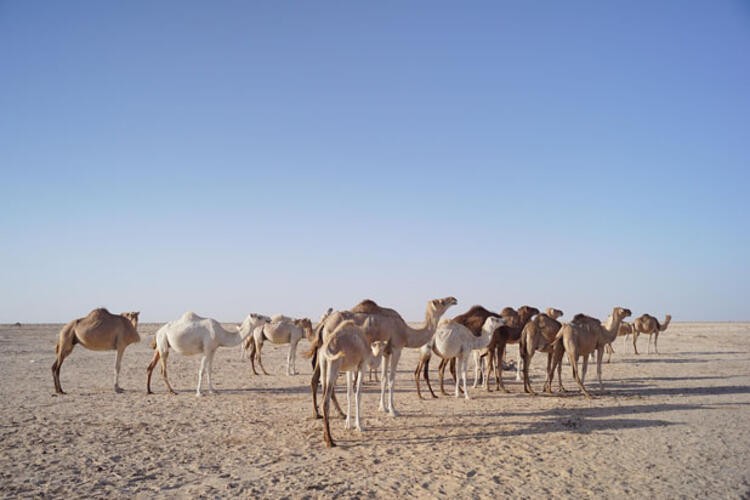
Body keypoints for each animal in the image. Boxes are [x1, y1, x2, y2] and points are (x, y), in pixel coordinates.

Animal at [320, 318, 384, 448]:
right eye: (380, 345)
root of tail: (326, 348)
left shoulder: (349, 369)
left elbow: (349, 394)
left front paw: (348, 424)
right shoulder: (362, 365)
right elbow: (358, 394)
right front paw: (359, 426)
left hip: (323, 366)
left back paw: (325, 438)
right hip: (333, 366)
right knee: (325, 402)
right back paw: (330, 441)